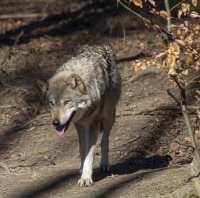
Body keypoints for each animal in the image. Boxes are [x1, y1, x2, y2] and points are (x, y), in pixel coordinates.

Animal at [42, 44, 120, 186]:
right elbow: (82, 149)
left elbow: (90, 153)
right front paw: (82, 169)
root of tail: (100, 45)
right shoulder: (79, 125)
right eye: (51, 103)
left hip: (108, 116)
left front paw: (86, 178)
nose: (55, 123)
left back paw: (104, 164)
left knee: (105, 139)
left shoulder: (93, 124)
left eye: (67, 102)